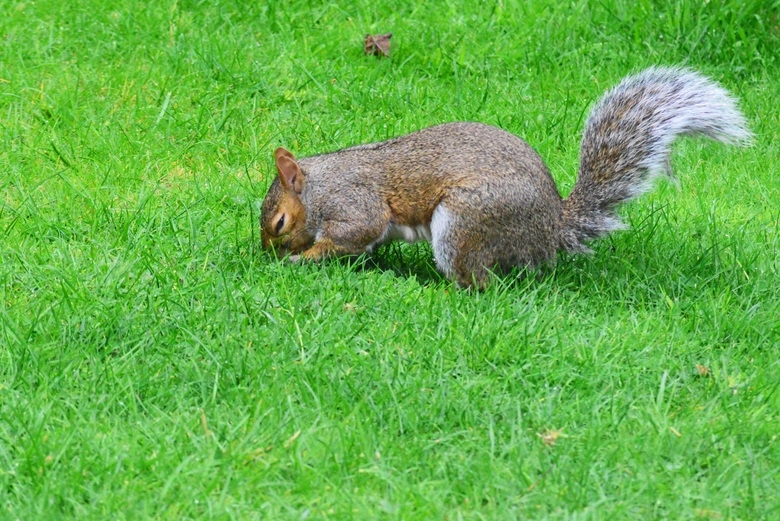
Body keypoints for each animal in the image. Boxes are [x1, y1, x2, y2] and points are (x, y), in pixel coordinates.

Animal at [260, 66, 748, 286]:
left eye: (279, 223)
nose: (264, 255)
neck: (320, 185)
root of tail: (550, 230)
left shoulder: (353, 203)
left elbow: (352, 233)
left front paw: (302, 258)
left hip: (466, 221)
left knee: (479, 282)